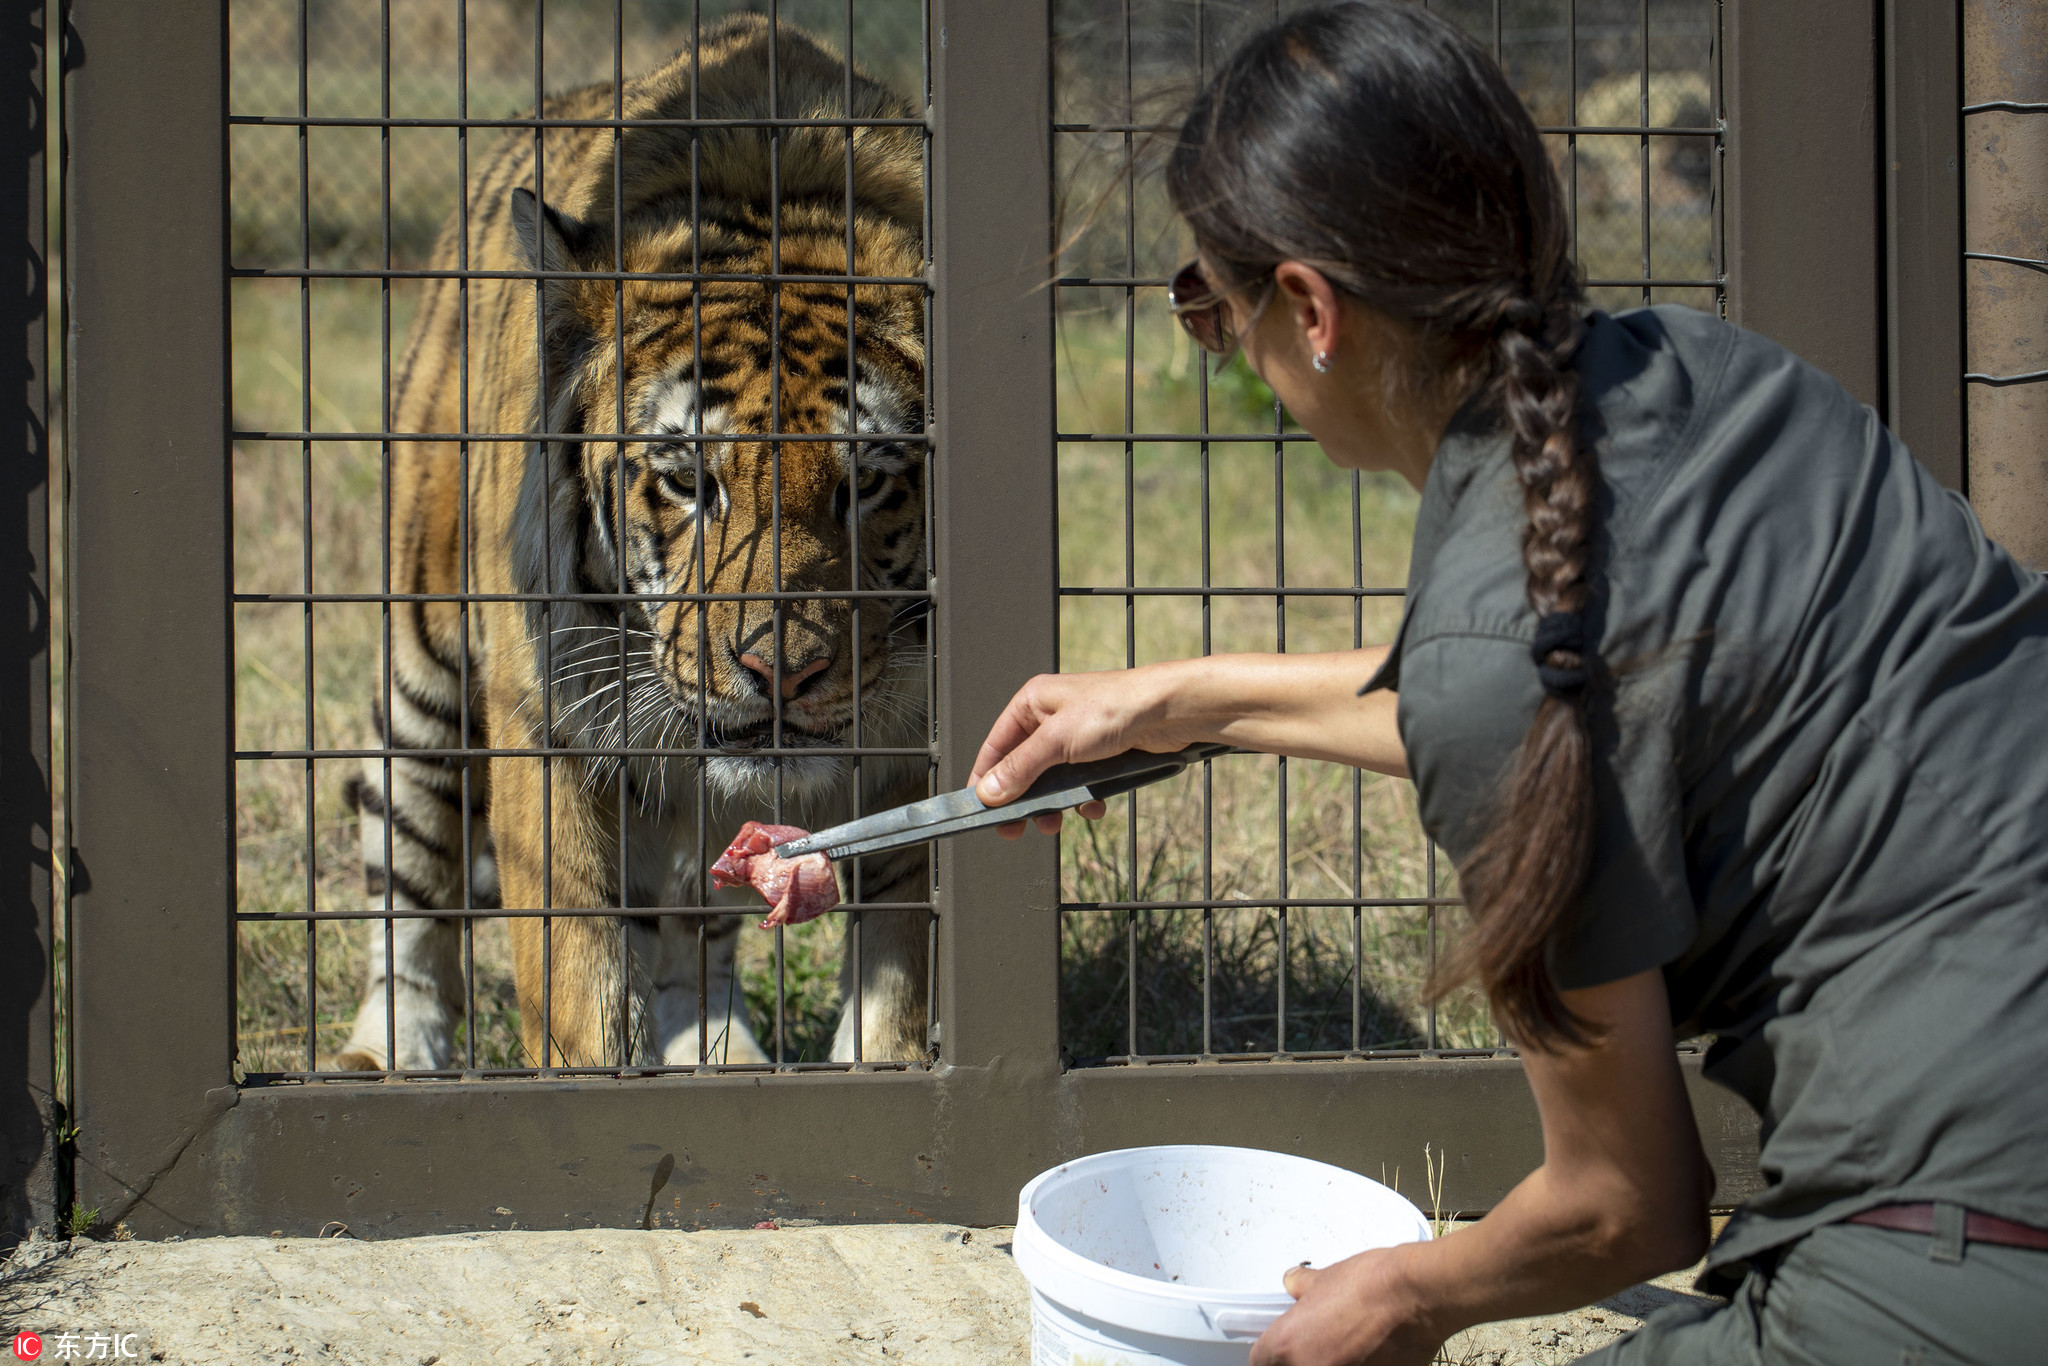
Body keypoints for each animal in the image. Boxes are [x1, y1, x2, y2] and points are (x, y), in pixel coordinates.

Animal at [337, 15, 937, 1073]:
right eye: (689, 483)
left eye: (866, 483)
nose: (781, 671)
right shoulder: (548, 724)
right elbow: (578, 970)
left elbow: (897, 970)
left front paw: (885, 1063)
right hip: (423, 680)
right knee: (406, 885)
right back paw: (391, 1051)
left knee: (697, 927)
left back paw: (719, 1050)